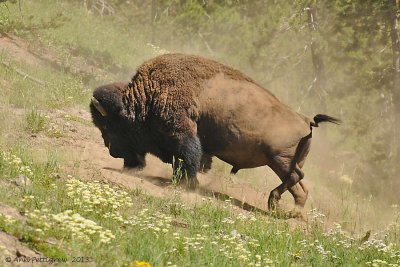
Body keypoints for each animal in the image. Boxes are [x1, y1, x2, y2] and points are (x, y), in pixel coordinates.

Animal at [91, 54, 340, 211]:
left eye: (109, 126)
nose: (111, 150)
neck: (147, 94)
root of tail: (305, 120)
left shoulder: (183, 133)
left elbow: (187, 159)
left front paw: (185, 184)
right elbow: (197, 160)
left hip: (279, 160)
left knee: (296, 178)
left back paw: (275, 203)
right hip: (283, 162)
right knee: (301, 188)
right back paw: (285, 212)